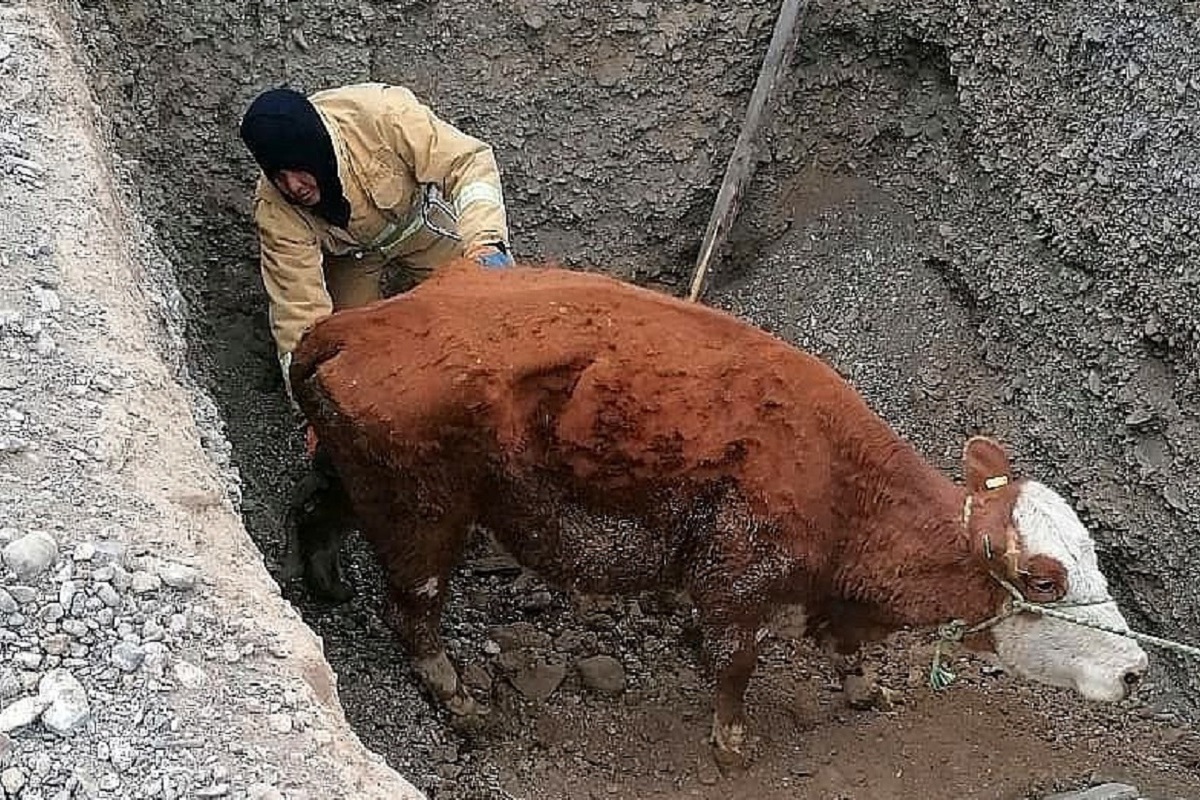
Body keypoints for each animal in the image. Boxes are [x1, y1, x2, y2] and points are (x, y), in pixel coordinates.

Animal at [285, 260, 1147, 767]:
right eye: (1043, 580)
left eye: (1093, 556)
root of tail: (354, 323)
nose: (1138, 670)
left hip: (366, 484)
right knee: (413, 609)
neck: (837, 474)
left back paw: (325, 581)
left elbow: (848, 654)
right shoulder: (737, 580)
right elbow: (737, 664)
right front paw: (732, 744)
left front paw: (866, 690)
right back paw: (462, 702)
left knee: (318, 509)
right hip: (426, 517)